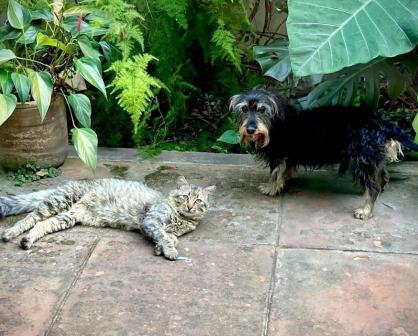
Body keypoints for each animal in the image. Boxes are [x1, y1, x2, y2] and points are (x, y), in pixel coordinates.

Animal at [0, 176, 216, 260]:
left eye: (198, 201)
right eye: (185, 197)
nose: (190, 206)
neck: (181, 219)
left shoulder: (158, 227)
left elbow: (170, 237)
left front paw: (159, 248)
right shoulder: (150, 221)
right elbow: (165, 237)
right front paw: (168, 250)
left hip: (67, 217)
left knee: (41, 225)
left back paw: (27, 241)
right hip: (57, 202)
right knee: (29, 219)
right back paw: (9, 234)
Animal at [230, 88, 418, 220]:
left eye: (262, 109)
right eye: (245, 109)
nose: (250, 129)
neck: (275, 122)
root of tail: (379, 121)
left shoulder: (278, 156)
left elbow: (275, 174)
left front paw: (271, 188)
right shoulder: (288, 156)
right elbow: (286, 170)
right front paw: (285, 180)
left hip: (359, 158)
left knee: (373, 187)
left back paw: (365, 210)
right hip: (370, 156)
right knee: (382, 176)